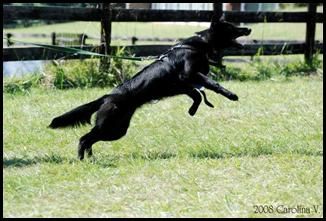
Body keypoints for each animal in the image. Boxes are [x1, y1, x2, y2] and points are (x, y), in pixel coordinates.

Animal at [49, 17, 252, 159]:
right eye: (232, 27)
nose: (248, 28)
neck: (198, 45)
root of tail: (107, 97)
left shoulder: (182, 85)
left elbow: (197, 95)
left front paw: (192, 111)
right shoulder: (188, 76)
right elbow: (211, 84)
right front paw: (231, 95)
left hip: (118, 129)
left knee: (90, 139)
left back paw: (90, 158)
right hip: (110, 127)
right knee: (84, 138)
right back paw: (82, 159)